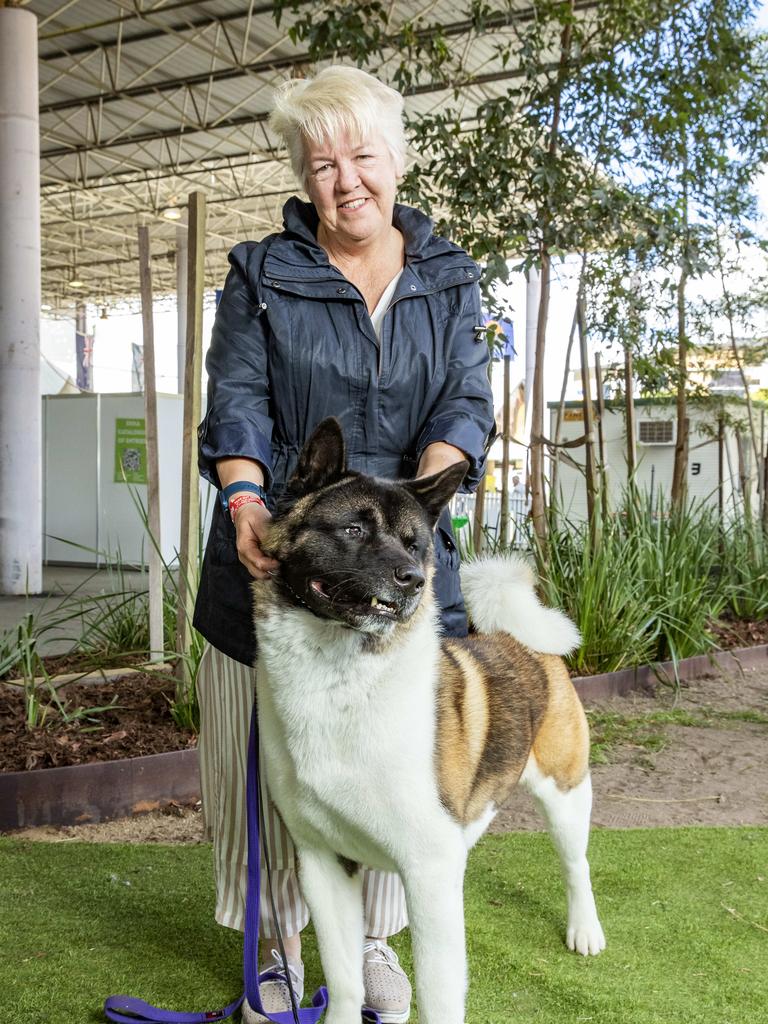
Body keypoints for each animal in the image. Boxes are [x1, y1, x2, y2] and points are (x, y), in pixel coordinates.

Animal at [256, 417, 606, 1024]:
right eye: (353, 529)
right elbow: (345, 983)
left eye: (414, 545)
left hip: (565, 792)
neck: (340, 680)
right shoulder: (323, 864)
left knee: (575, 864)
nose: (412, 579)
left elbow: (440, 995)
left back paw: (585, 930)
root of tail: (519, 638)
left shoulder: (429, 872)